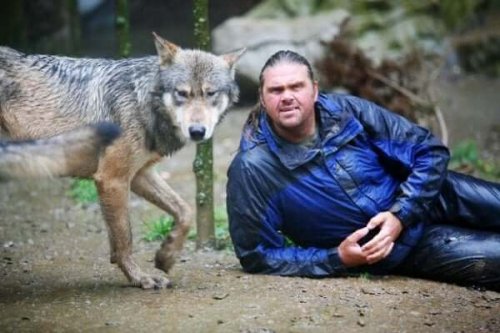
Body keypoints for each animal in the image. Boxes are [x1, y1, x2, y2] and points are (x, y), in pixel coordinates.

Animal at [0, 33, 246, 288]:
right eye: (182, 93)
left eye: (211, 93)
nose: (197, 131)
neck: (142, 102)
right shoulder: (112, 179)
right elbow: (124, 238)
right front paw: (140, 278)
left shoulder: (139, 175)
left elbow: (185, 211)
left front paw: (166, 255)